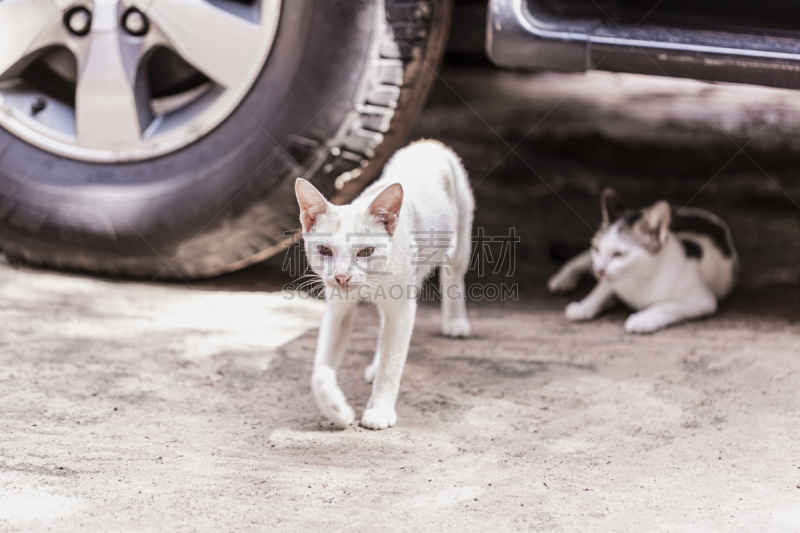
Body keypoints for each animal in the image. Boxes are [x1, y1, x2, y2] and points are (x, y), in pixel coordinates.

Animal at [296, 138, 476, 428]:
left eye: (367, 251)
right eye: (324, 250)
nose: (342, 276)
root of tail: (428, 143)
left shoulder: (403, 307)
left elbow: (393, 365)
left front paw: (380, 409)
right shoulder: (338, 308)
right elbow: (320, 372)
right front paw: (336, 409)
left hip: (460, 235)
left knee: (454, 274)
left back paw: (456, 323)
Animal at [548, 187, 740, 332]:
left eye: (619, 254)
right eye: (597, 249)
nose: (599, 271)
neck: (640, 279)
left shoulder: (701, 300)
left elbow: (666, 306)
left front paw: (643, 319)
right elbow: (602, 288)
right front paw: (586, 304)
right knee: (583, 259)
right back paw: (563, 278)